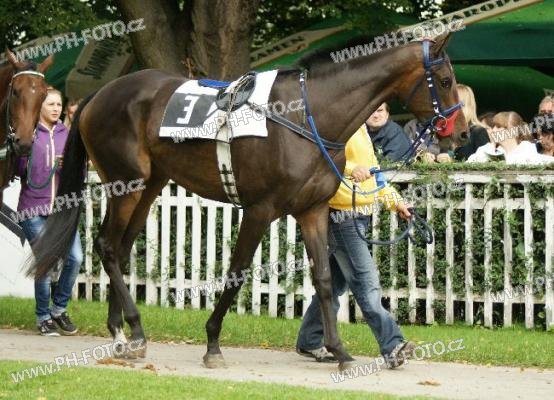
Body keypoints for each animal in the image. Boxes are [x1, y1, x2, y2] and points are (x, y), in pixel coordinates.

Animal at [26, 32, 467, 370]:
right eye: (445, 80)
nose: (461, 134)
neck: (308, 116)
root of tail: (100, 93)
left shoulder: (312, 210)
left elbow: (325, 280)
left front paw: (339, 351)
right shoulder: (260, 210)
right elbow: (236, 274)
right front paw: (212, 343)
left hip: (149, 185)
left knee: (118, 247)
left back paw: (124, 334)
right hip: (126, 183)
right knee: (106, 245)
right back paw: (131, 327)